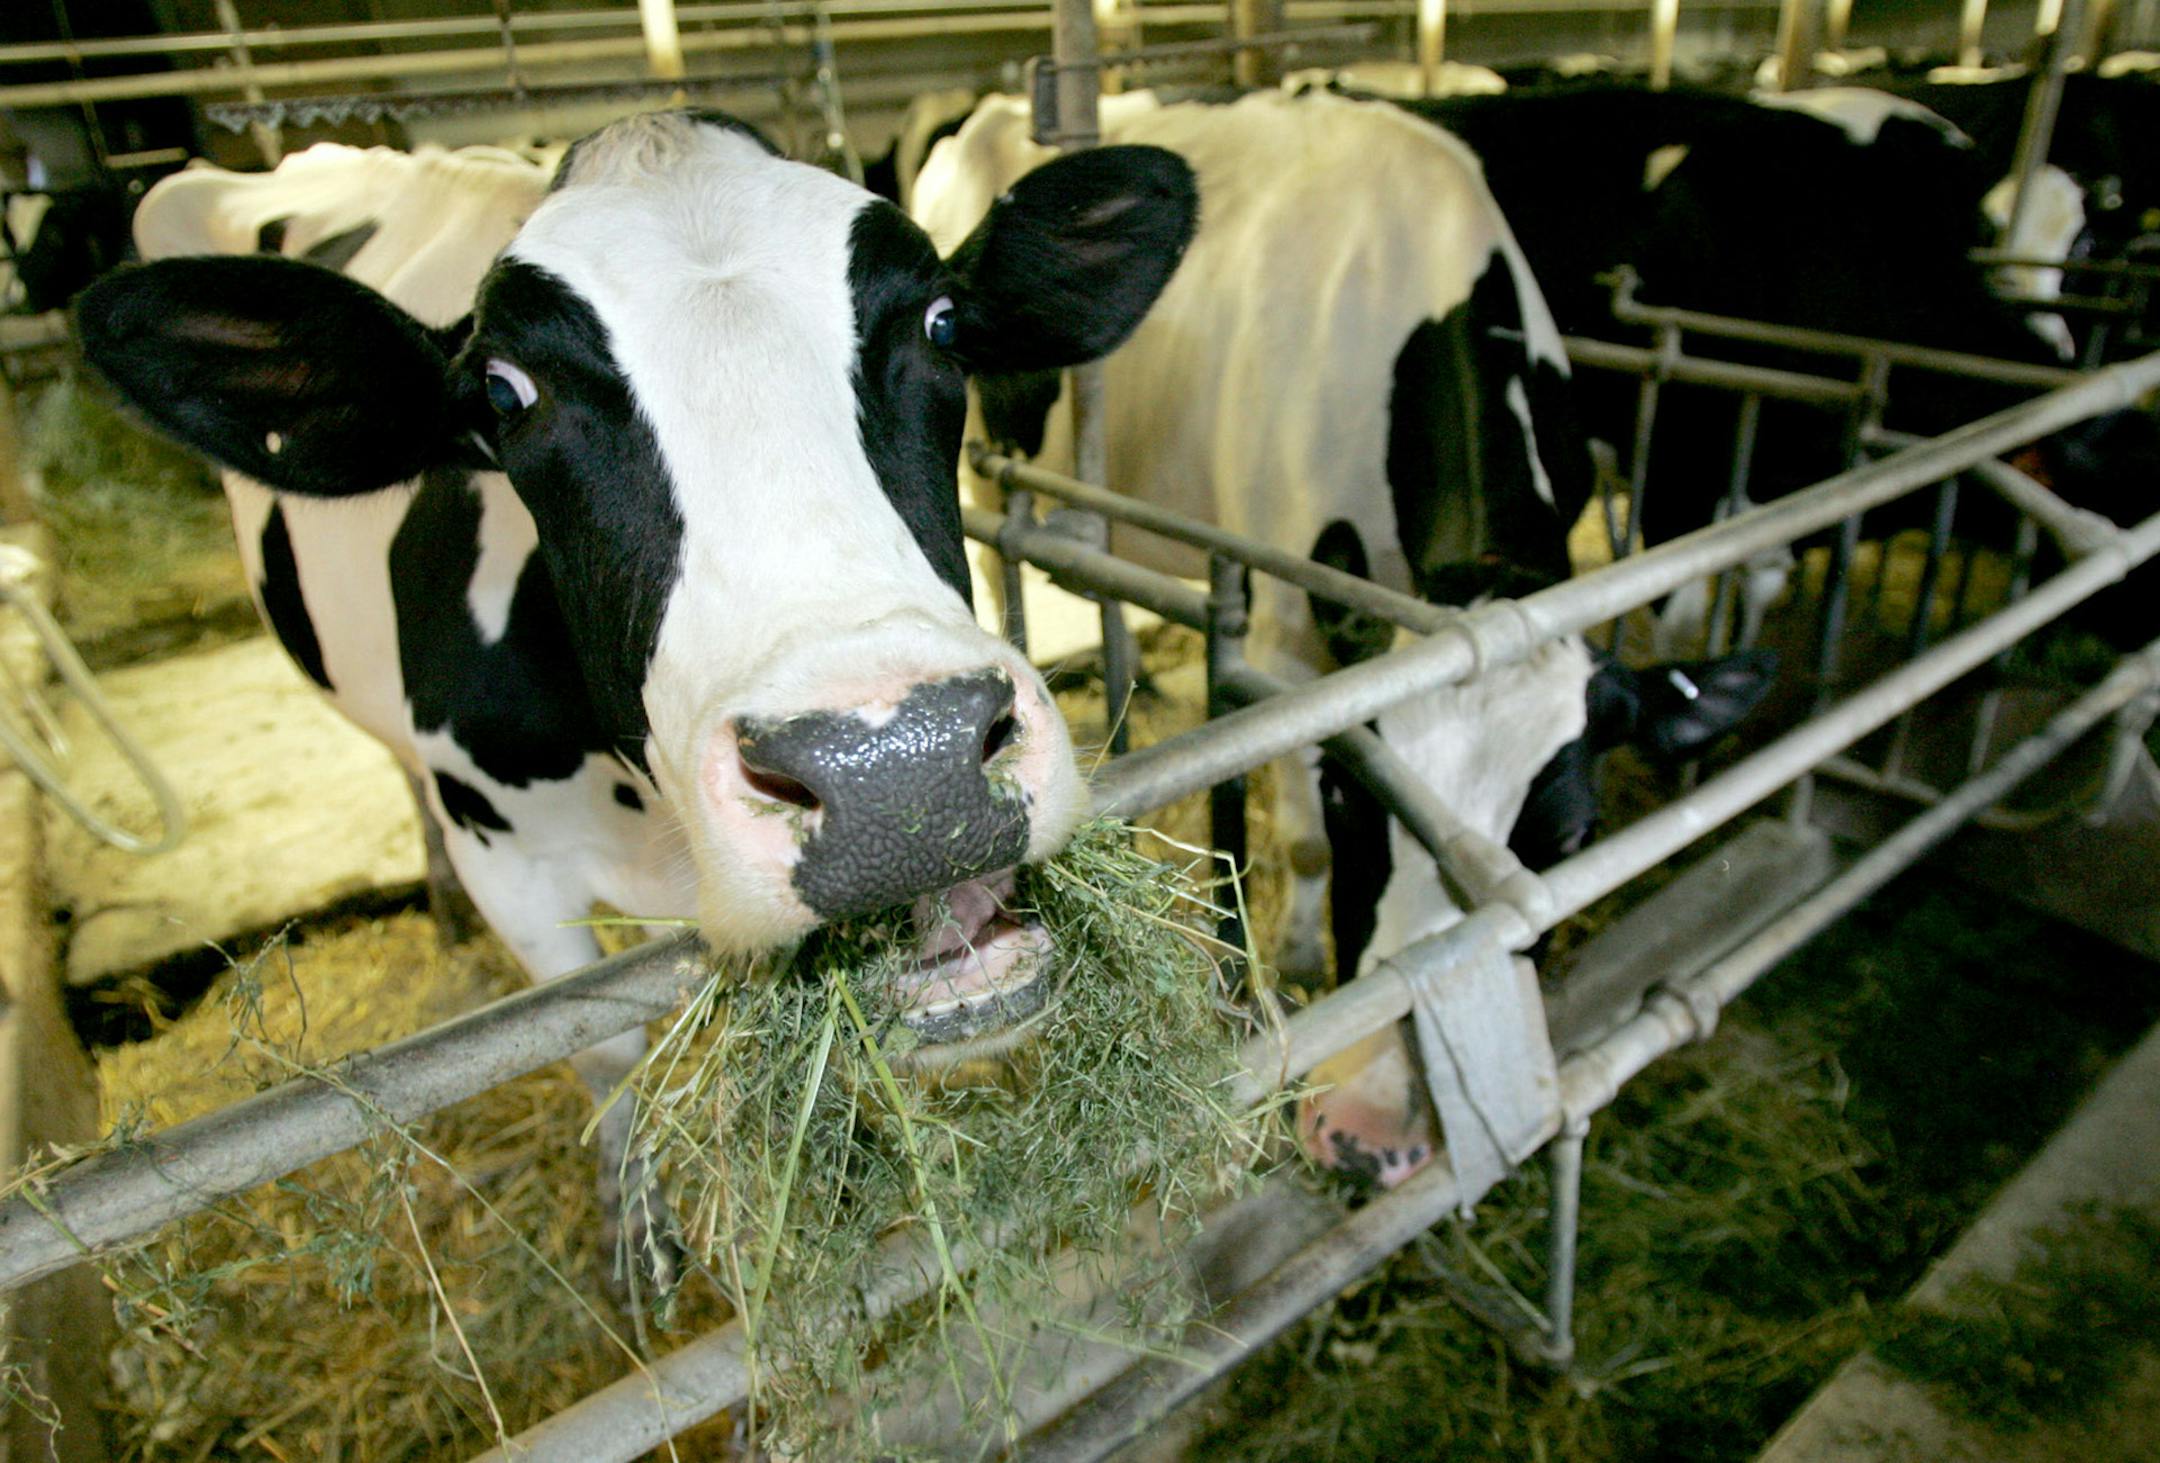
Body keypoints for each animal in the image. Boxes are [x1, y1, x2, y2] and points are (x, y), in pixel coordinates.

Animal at [76, 109, 1199, 1274]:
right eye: (505, 394)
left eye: (940, 325)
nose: (900, 771)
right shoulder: (509, 858)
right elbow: (604, 1049)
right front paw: (640, 1234)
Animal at [913, 89, 1771, 1186]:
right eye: (1353, 803)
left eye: (1574, 838)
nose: (1372, 1129)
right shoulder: (1286, 634)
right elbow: (1301, 839)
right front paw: (1297, 958)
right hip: (986, 472)